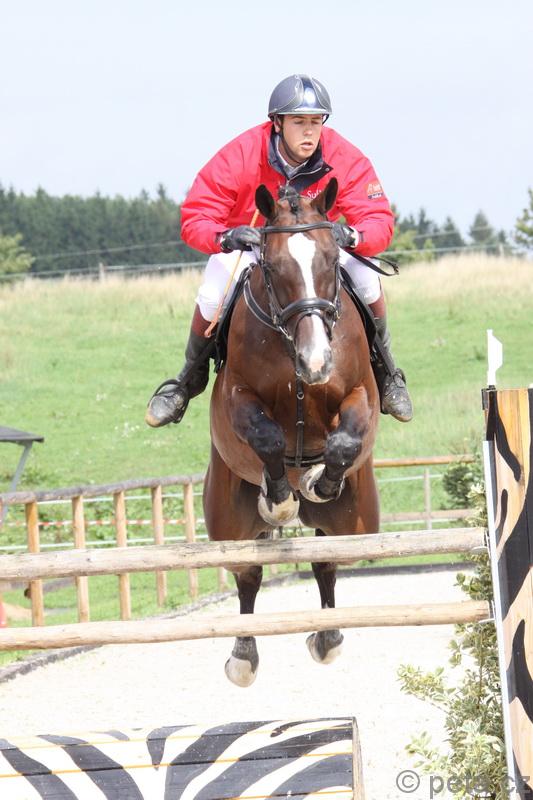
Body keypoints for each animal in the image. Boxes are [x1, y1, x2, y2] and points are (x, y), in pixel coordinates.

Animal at [203, 178, 380, 686]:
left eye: (330, 260)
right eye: (273, 266)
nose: (316, 361)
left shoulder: (361, 393)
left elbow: (347, 439)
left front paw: (319, 480)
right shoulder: (238, 398)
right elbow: (267, 438)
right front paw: (280, 499)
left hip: (355, 524)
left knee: (327, 558)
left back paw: (327, 637)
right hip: (229, 524)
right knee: (248, 573)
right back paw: (244, 657)